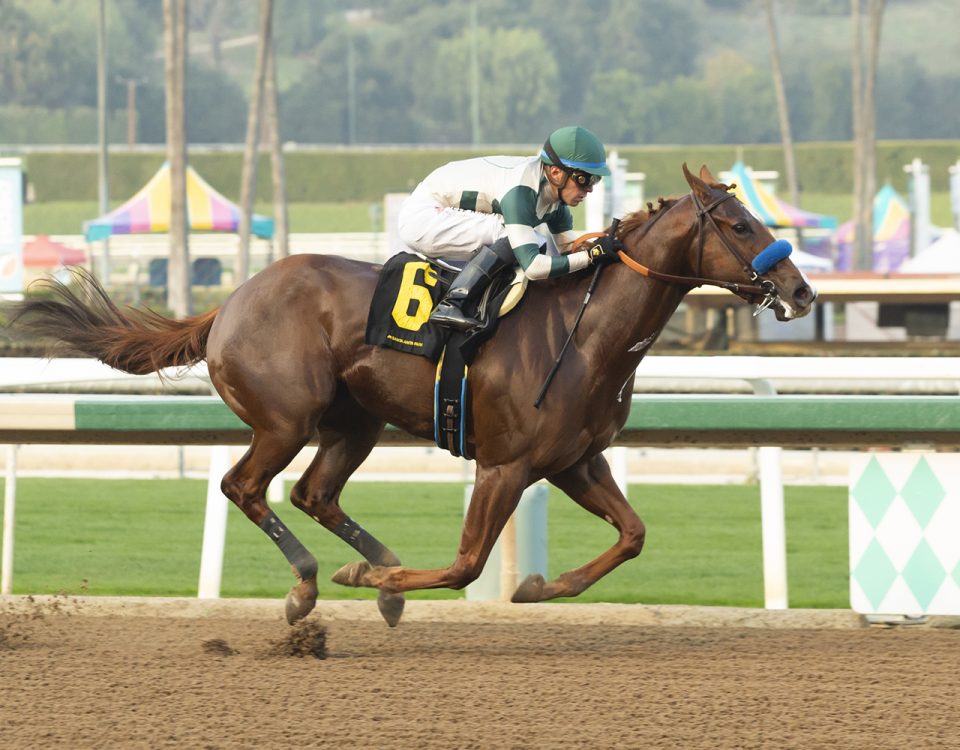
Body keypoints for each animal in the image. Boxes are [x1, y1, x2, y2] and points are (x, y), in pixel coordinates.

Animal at [7, 166, 816, 628]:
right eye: (739, 224)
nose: (801, 290)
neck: (584, 332)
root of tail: (231, 300)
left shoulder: (574, 462)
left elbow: (633, 534)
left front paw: (537, 585)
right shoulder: (505, 465)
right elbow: (464, 565)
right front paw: (382, 581)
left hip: (354, 422)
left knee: (313, 494)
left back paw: (364, 572)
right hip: (286, 417)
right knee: (245, 486)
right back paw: (313, 583)